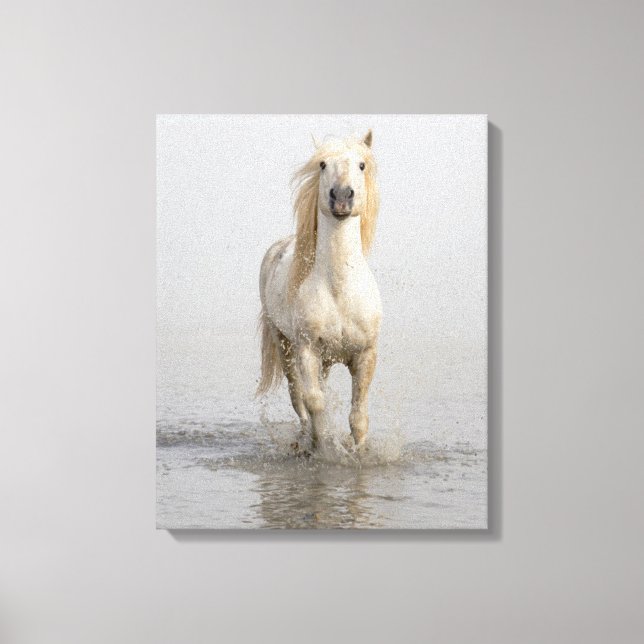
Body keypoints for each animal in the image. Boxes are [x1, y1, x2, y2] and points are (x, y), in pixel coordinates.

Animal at [257, 130, 381, 452]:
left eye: (361, 164)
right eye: (323, 164)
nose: (342, 197)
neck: (340, 290)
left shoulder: (365, 354)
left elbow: (358, 415)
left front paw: (358, 452)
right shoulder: (307, 350)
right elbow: (314, 402)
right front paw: (321, 446)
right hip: (284, 345)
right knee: (297, 397)